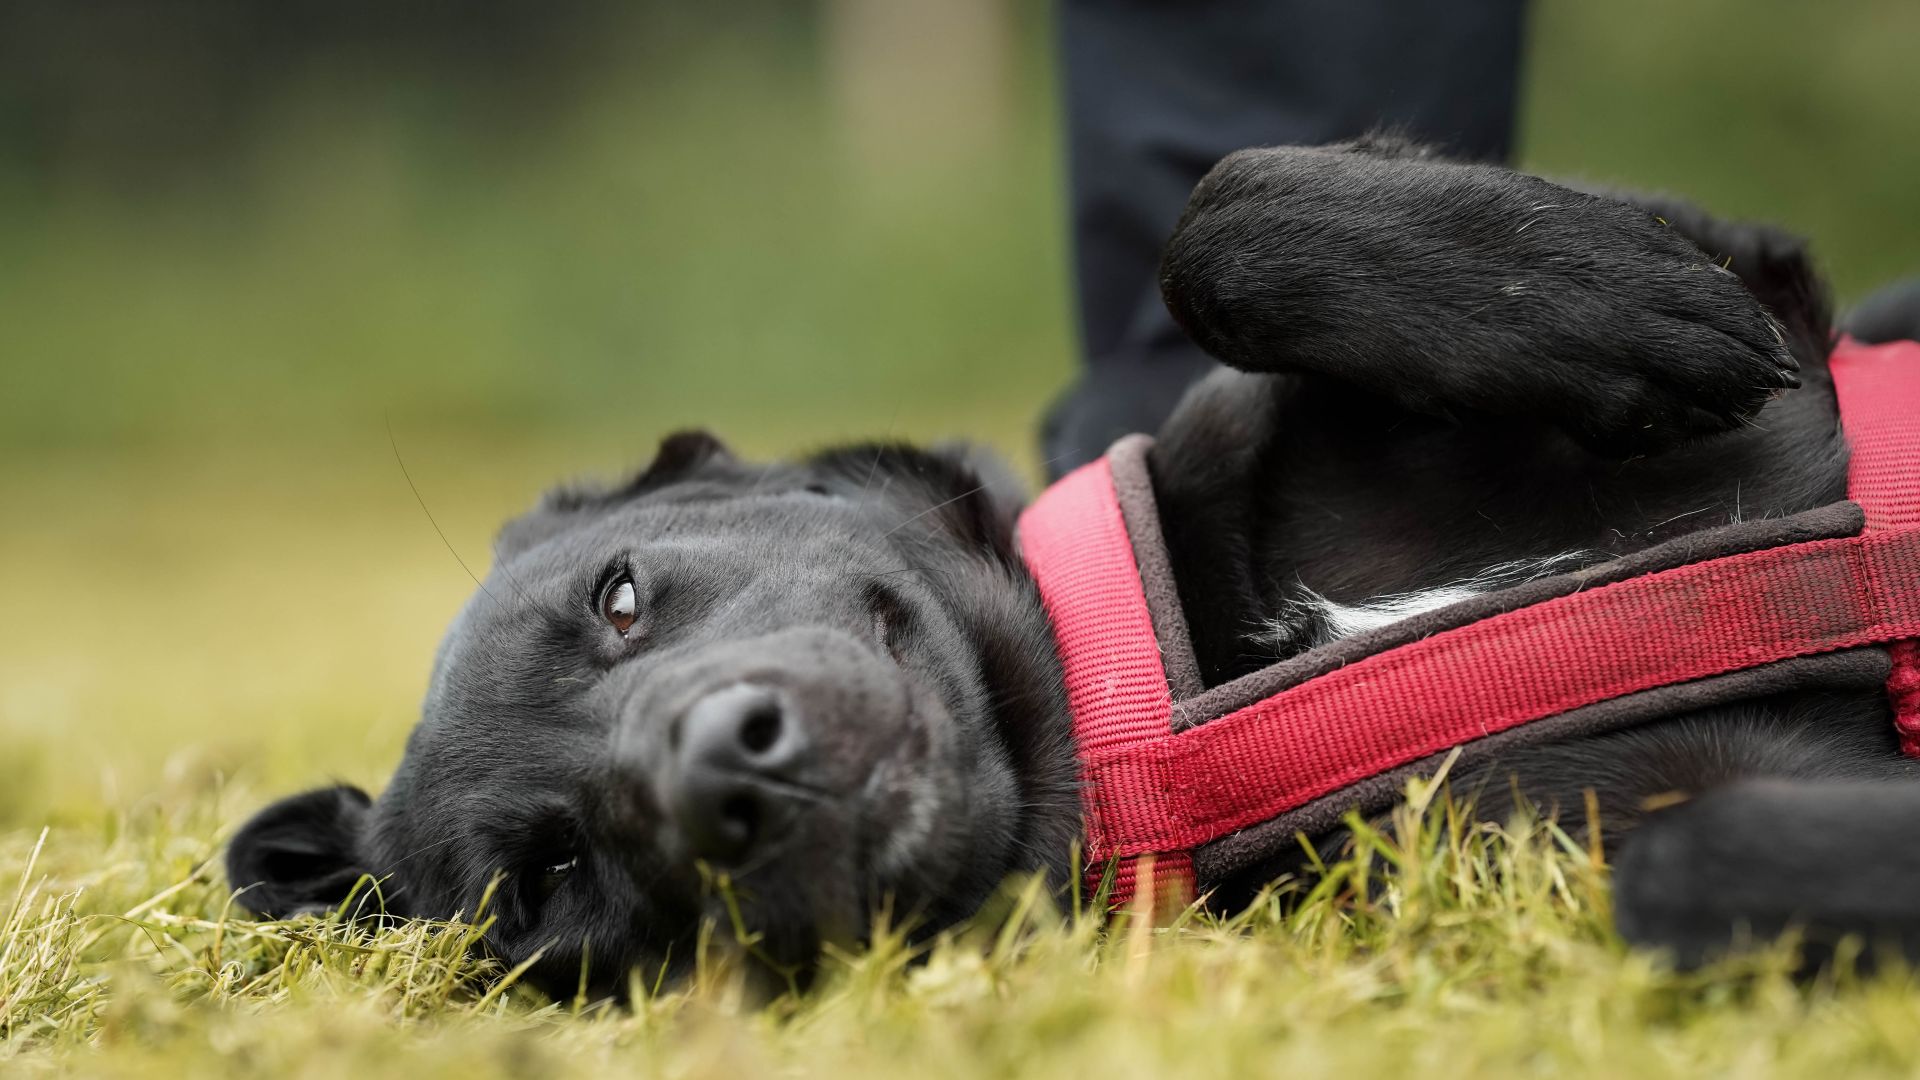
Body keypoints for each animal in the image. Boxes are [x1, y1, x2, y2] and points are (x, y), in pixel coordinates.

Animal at [228, 136, 1920, 991]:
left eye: (621, 597)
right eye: (553, 880)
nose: (722, 770)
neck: (1155, 703)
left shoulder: (1765, 268)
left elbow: (1219, 213)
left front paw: (1617, 307)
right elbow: (1690, 866)